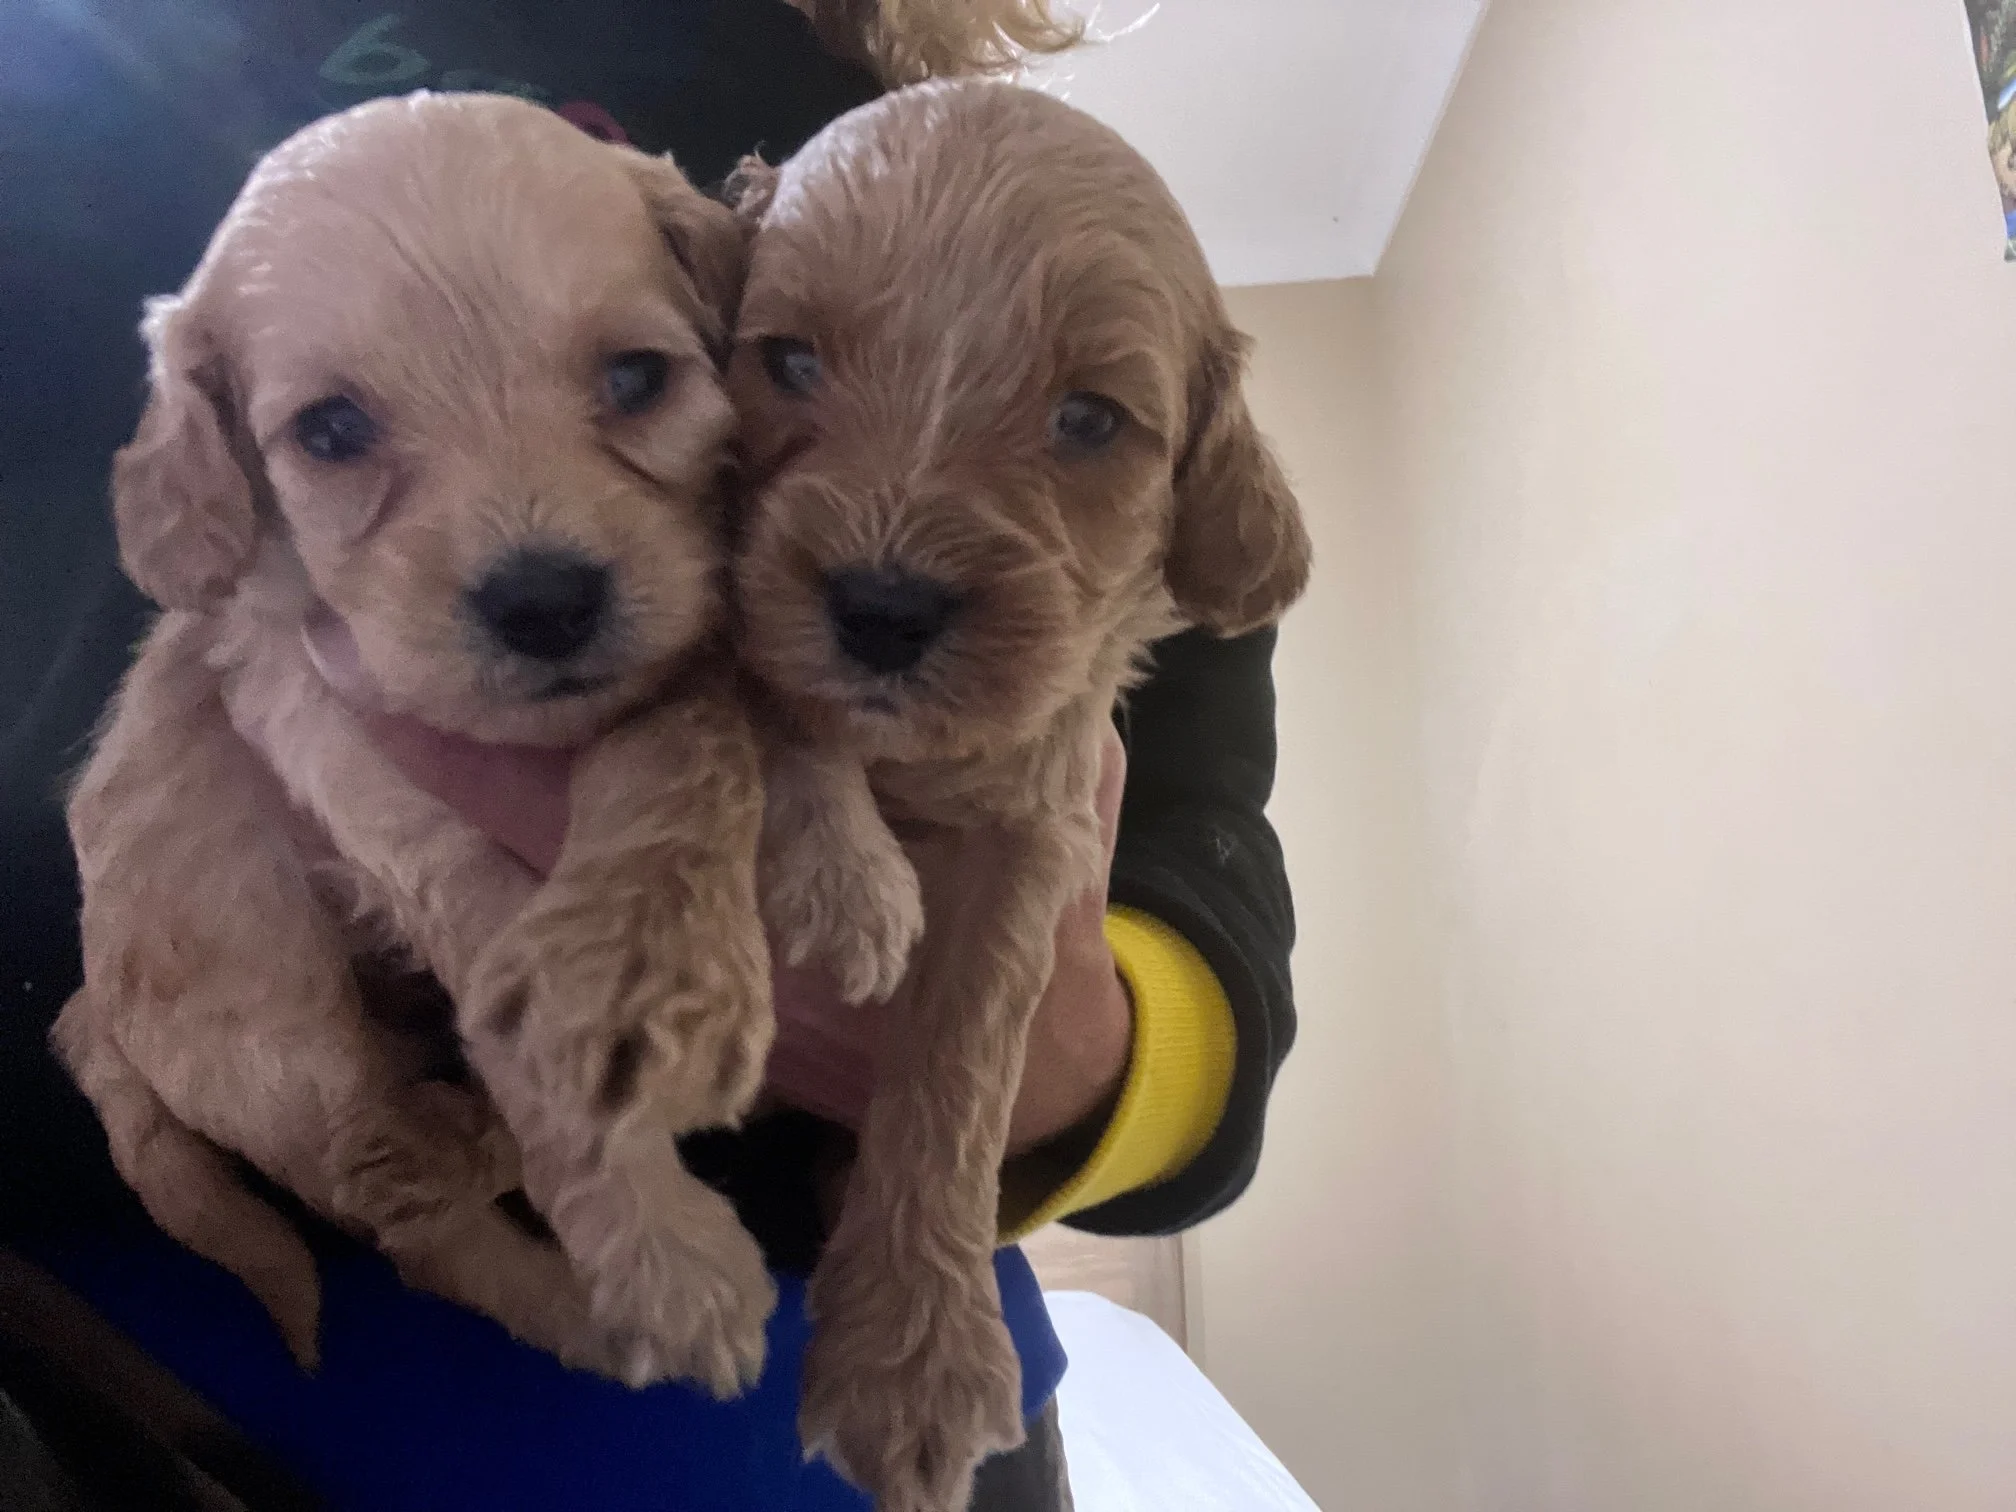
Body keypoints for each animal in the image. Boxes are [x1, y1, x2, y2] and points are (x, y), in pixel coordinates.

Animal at [54, 91, 780, 1394]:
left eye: (638, 377)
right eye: (333, 429)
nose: (545, 603)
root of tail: (87, 1014)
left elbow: (685, 755)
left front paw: (665, 962)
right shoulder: (367, 781)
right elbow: (533, 1037)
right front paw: (669, 1265)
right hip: (288, 1039)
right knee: (406, 1218)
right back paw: (583, 1309)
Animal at [729, 79, 1313, 1511]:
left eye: (1091, 420)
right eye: (789, 360)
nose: (881, 611)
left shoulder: (1035, 831)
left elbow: (958, 1055)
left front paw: (909, 1358)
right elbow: (771, 690)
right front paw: (839, 874)